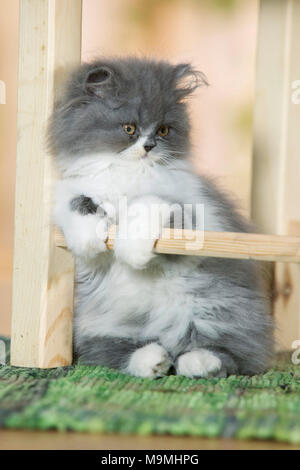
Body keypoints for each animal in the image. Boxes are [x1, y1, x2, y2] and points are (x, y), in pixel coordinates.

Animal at [48, 57, 274, 378]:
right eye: (129, 128)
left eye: (165, 130)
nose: (149, 146)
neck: (127, 176)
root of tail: (168, 339)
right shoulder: (73, 192)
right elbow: (76, 204)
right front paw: (87, 239)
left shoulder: (194, 217)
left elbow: (148, 202)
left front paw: (131, 249)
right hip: (99, 325)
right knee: (115, 352)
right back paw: (154, 360)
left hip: (220, 315)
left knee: (232, 356)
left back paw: (197, 364)